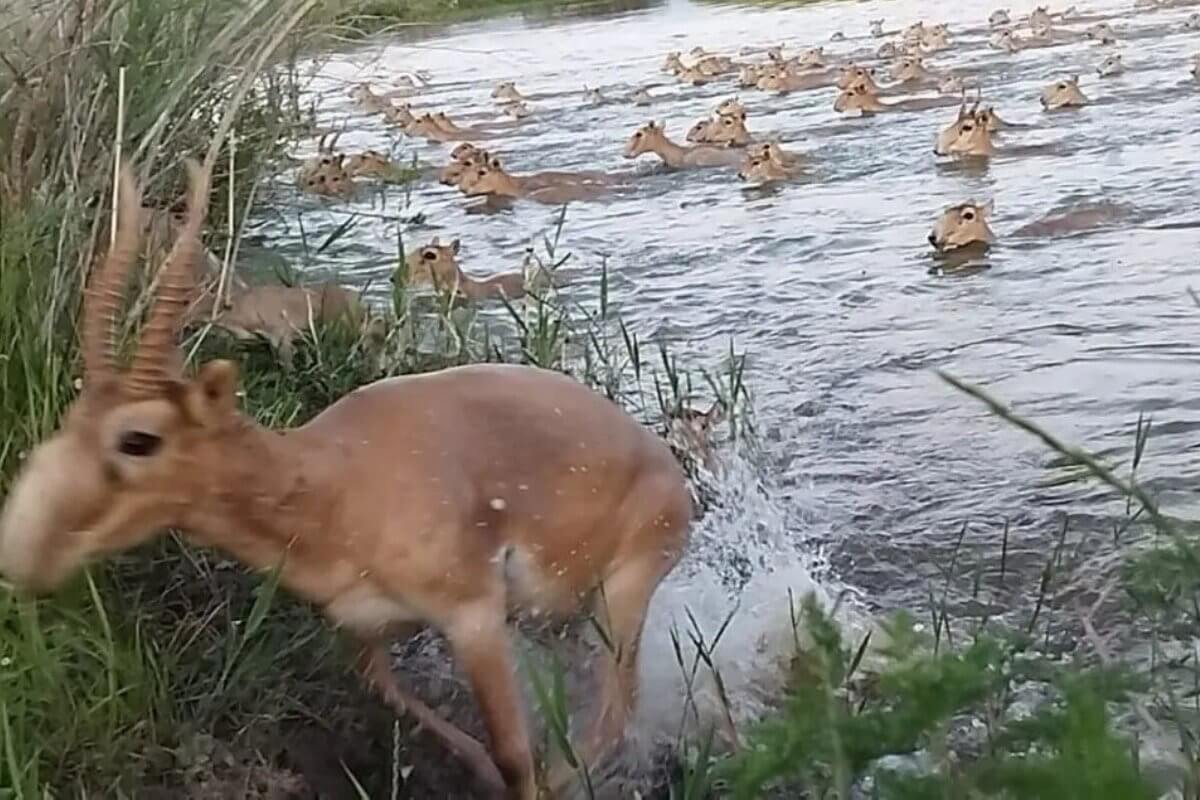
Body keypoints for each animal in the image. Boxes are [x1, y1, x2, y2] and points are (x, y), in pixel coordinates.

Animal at [0, 158, 696, 800]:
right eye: (73, 419)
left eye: (138, 438)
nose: (25, 547)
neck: (334, 488)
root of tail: (669, 468)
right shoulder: (366, 630)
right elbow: (405, 704)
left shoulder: (472, 615)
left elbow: (513, 753)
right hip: (565, 617)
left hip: (623, 591)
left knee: (617, 709)